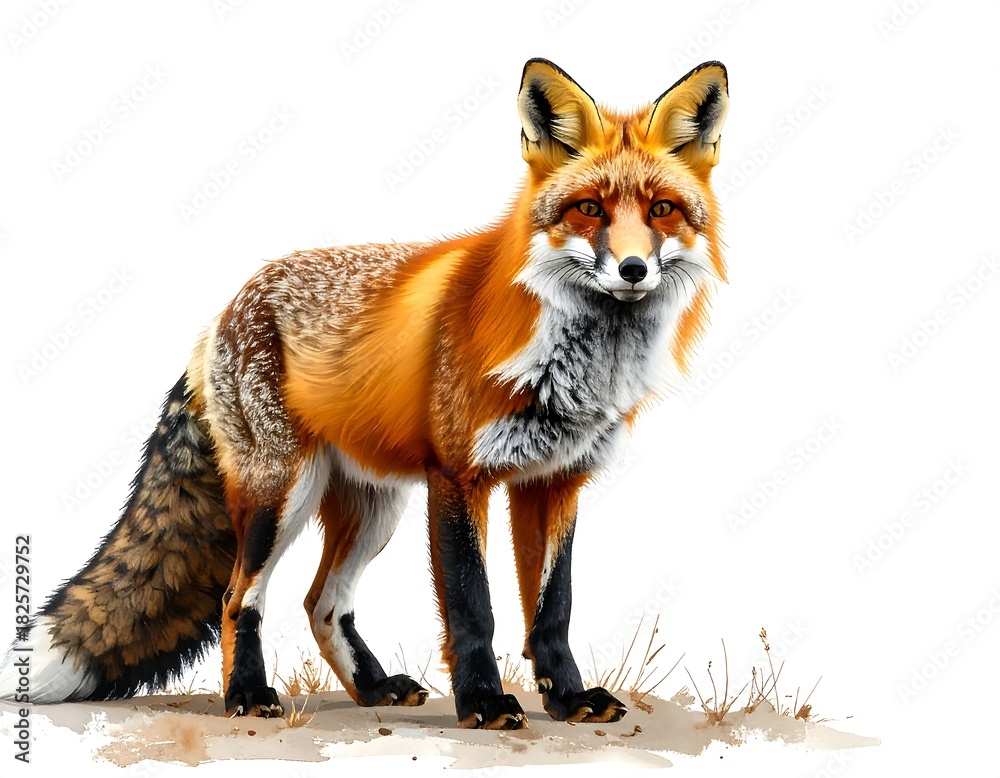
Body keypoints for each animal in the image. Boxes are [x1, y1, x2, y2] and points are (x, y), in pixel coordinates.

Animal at [0, 58, 728, 730]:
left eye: (662, 210)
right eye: (590, 209)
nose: (632, 269)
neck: (572, 362)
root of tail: (225, 309)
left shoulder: (554, 482)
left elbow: (553, 610)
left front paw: (569, 699)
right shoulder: (458, 477)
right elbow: (474, 608)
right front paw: (484, 704)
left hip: (375, 508)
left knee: (322, 604)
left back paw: (373, 689)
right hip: (280, 496)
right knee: (242, 598)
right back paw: (247, 696)